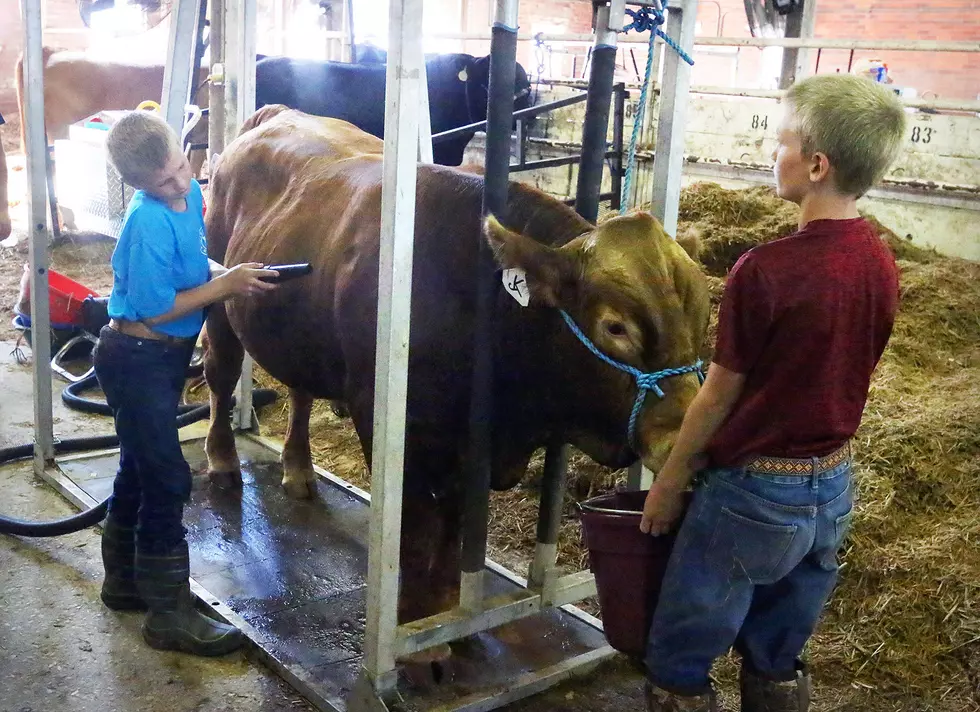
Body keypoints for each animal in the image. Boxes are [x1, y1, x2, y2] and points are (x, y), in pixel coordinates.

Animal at [203, 105, 708, 624]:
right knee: (221, 376)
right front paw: (412, 620)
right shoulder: (390, 428)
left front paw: (443, 608)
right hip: (220, 295)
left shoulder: (474, 454)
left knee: (300, 390)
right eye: (615, 326)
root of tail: (276, 113)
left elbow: (455, 530)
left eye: (705, 315)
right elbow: (412, 533)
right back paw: (222, 461)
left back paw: (300, 470)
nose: (686, 442)